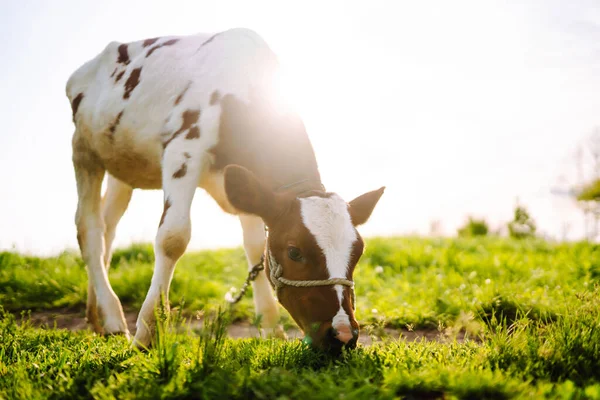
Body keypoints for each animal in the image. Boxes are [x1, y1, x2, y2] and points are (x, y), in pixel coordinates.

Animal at [65, 27, 384, 350]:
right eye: (294, 252)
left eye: (358, 251)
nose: (343, 335)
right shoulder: (183, 150)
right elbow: (173, 237)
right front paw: (147, 332)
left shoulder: (250, 182)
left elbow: (255, 247)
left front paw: (271, 327)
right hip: (84, 149)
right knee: (89, 228)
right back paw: (114, 318)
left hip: (120, 168)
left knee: (108, 227)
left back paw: (97, 315)